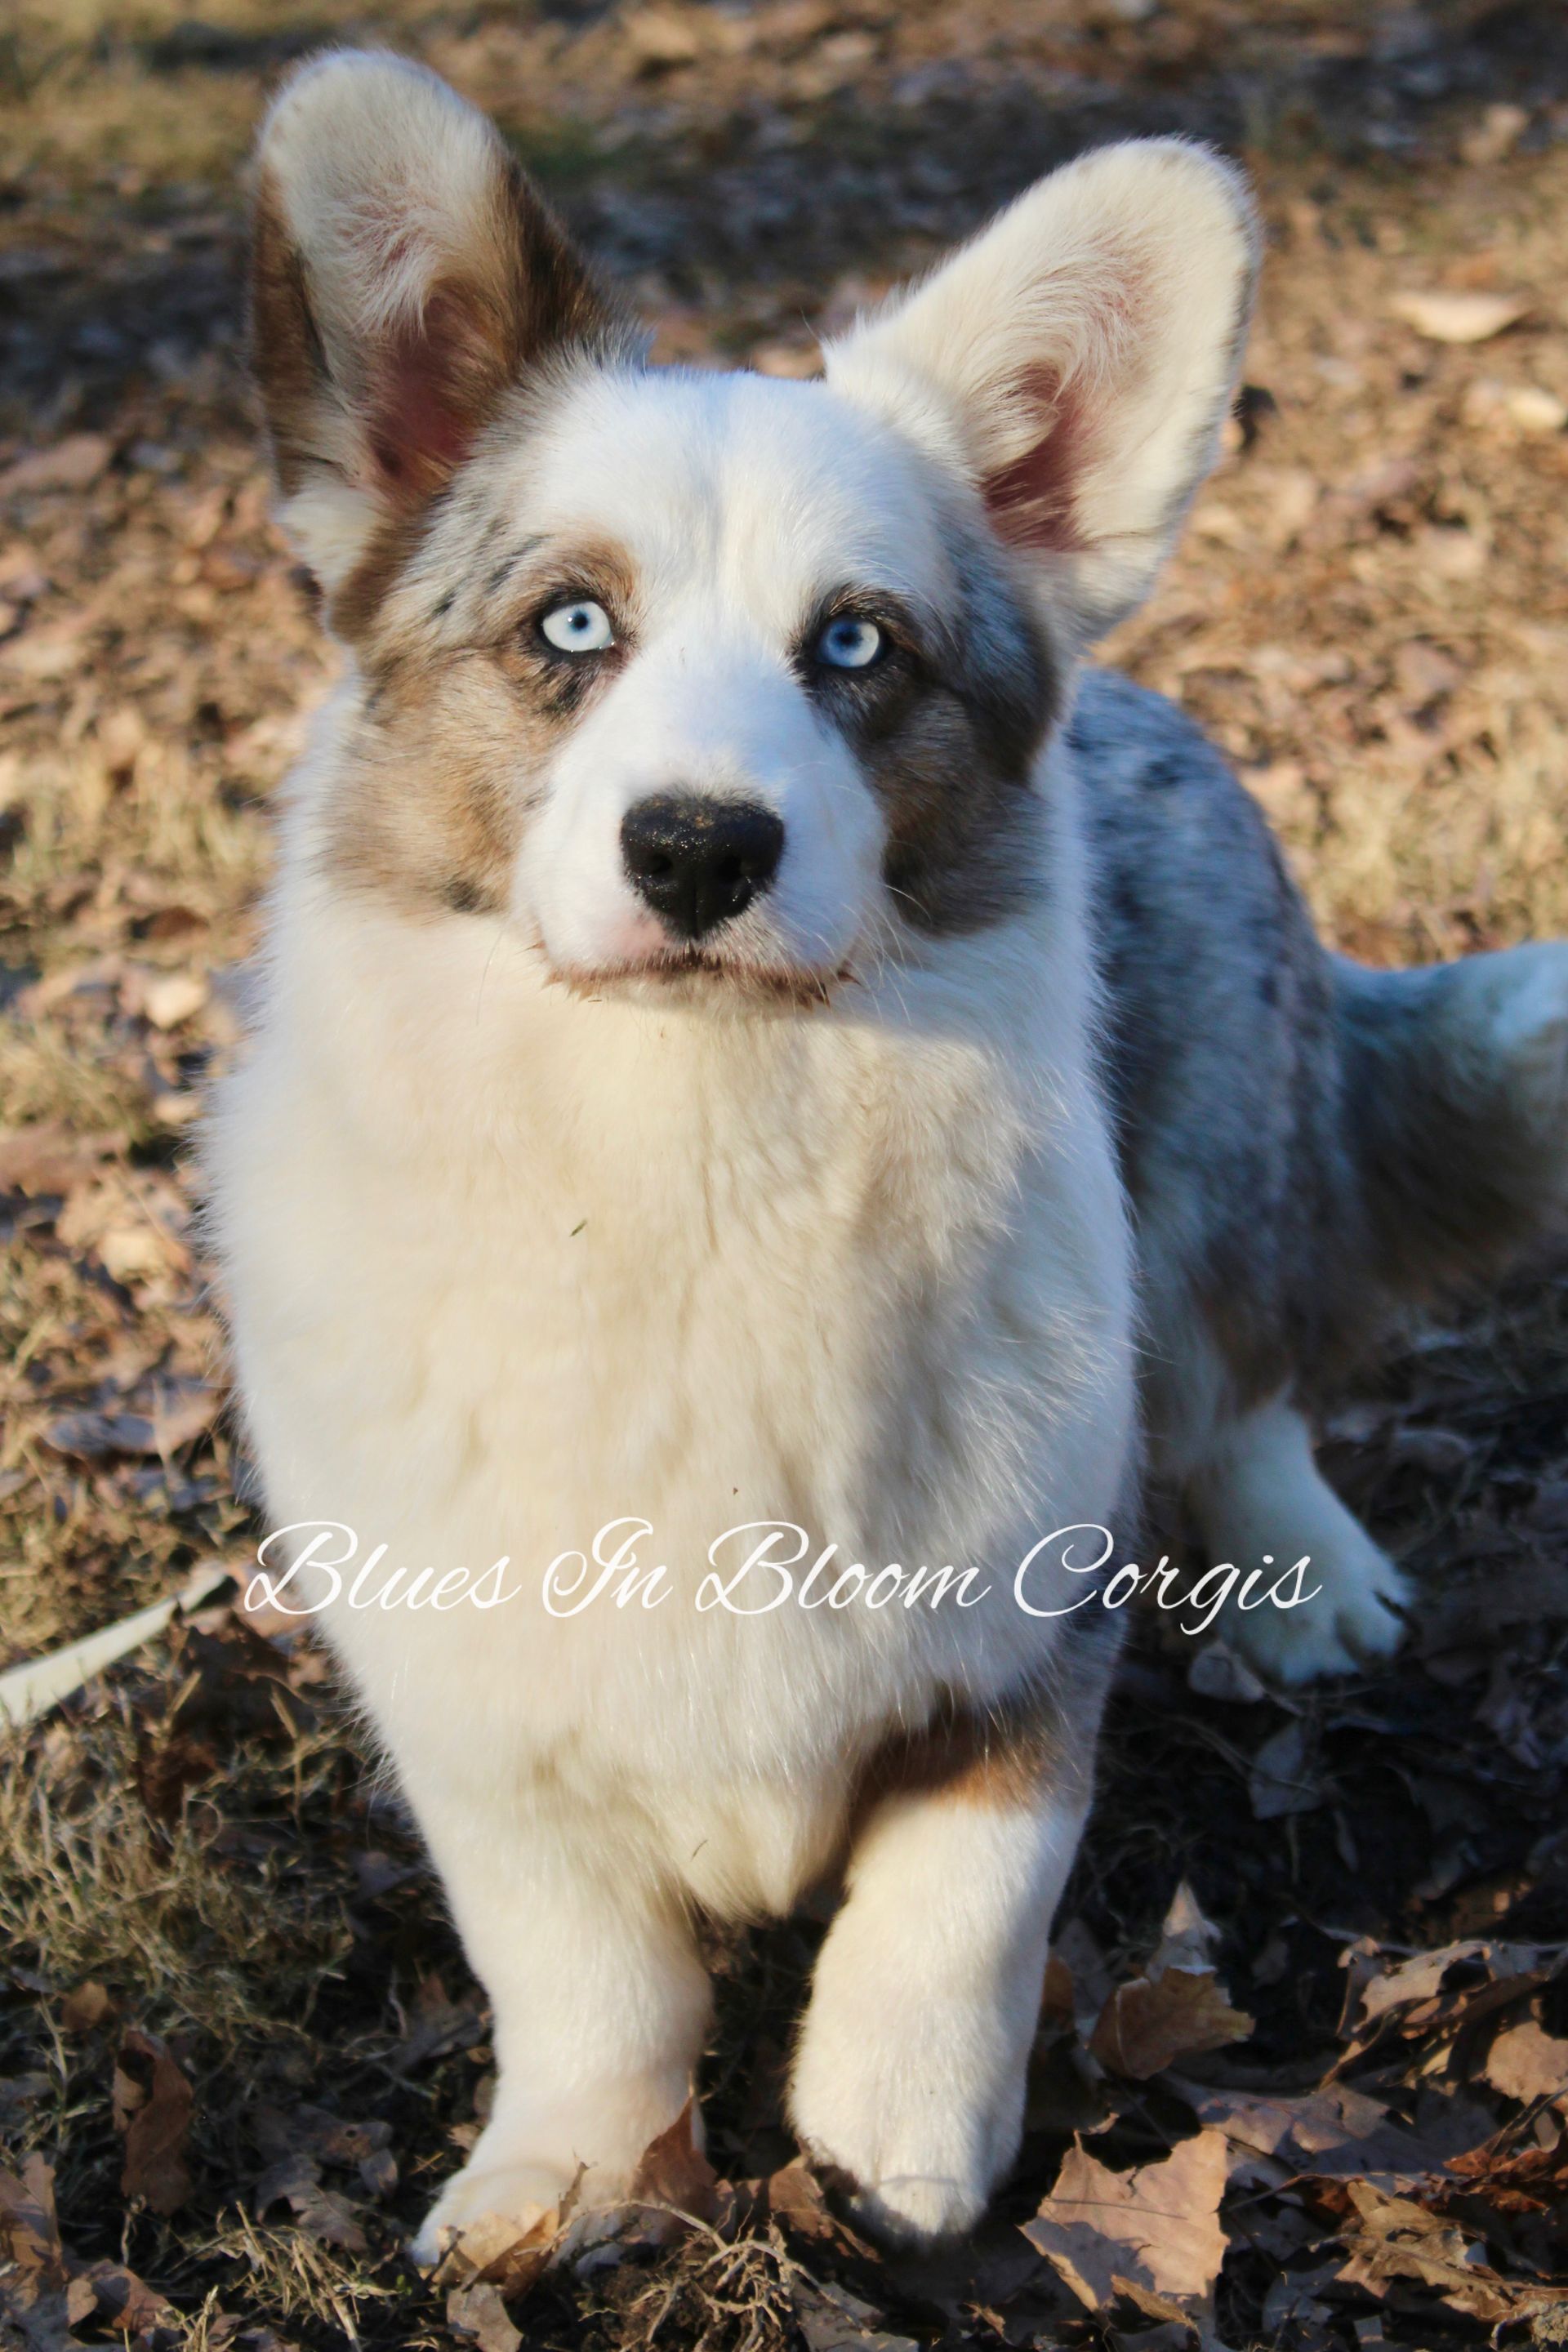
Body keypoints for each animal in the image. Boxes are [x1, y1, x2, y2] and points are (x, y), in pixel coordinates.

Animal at [208, 50, 1568, 2253]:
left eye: (855, 648)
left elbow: (953, 1915)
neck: (689, 1157)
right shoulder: (480, 1726)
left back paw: (1309, 1579)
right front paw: (564, 2177)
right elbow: (580, 1968)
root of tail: (1158, 700)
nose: (698, 847)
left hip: (1209, 1183)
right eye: (568, 625)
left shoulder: (1022, 1641)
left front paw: (895, 2165)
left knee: (1247, 1375)